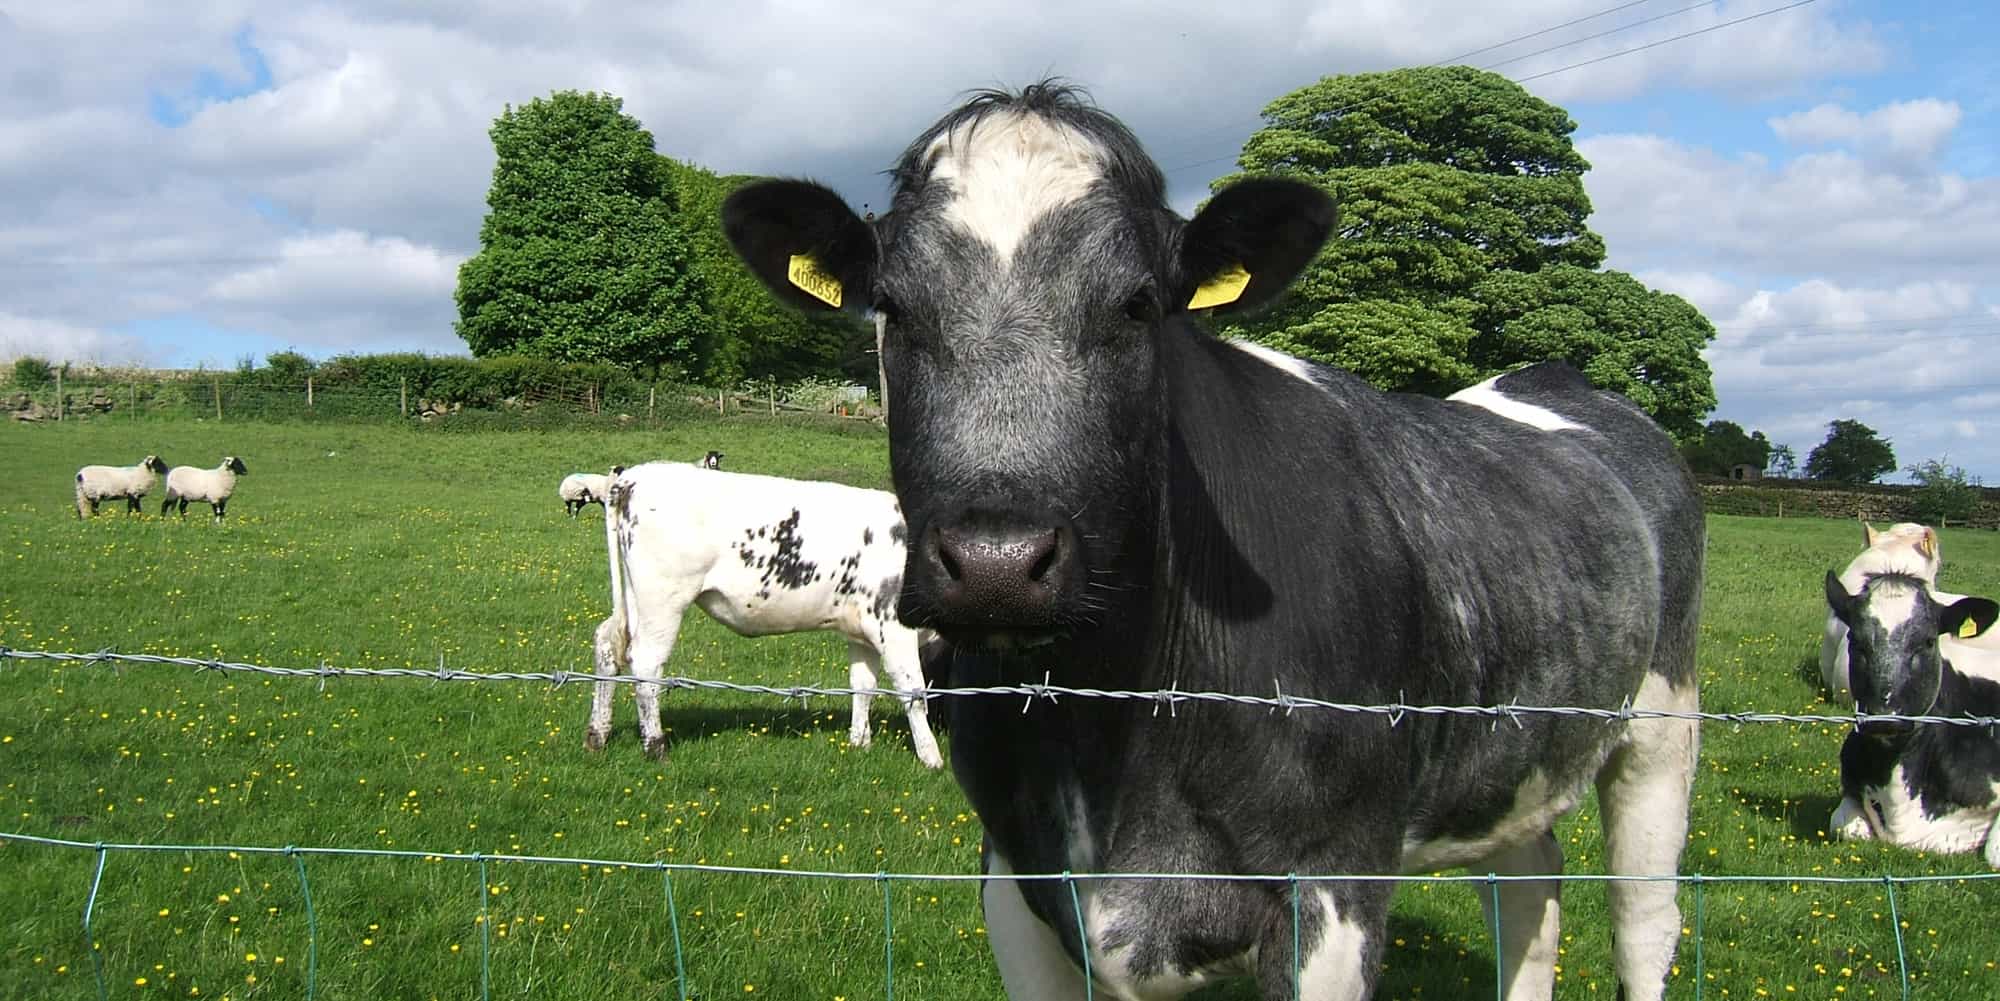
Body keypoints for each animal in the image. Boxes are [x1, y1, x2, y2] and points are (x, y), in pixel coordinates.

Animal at [584, 460, 944, 764]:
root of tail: (633, 477)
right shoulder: (894, 626)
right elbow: (913, 691)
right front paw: (931, 758)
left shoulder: (860, 631)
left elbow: (862, 685)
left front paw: (859, 743)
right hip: (662, 600)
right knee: (646, 663)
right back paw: (656, 746)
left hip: (633, 597)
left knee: (607, 643)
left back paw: (597, 735)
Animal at [720, 84, 1704, 1001]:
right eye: (891, 305)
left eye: (1139, 305)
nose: (997, 564)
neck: (1111, 724)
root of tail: (1556, 380)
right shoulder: (1016, 879)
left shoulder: (1332, 888)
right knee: (1530, 893)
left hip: (1663, 726)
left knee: (1645, 921)